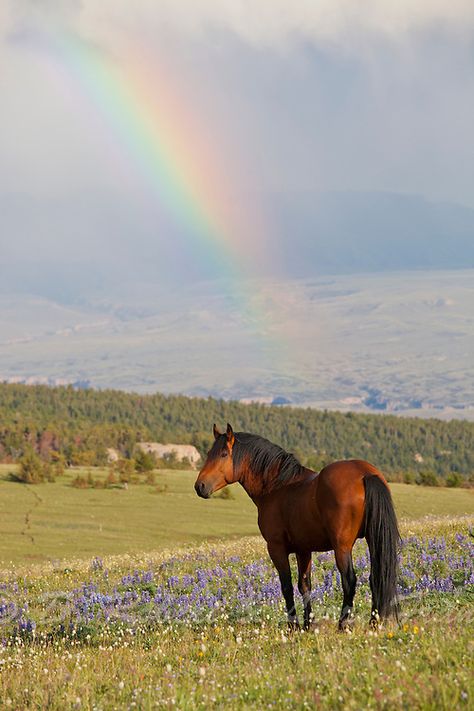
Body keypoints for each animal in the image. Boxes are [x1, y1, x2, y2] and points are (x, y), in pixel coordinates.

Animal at [194, 426, 398, 632]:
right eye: (209, 453)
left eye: (223, 454)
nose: (199, 486)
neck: (277, 487)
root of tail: (365, 474)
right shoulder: (303, 550)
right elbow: (305, 585)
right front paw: (308, 624)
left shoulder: (276, 548)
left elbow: (286, 586)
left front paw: (293, 625)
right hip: (373, 540)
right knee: (376, 577)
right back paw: (373, 623)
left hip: (342, 547)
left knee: (349, 581)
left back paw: (342, 625)